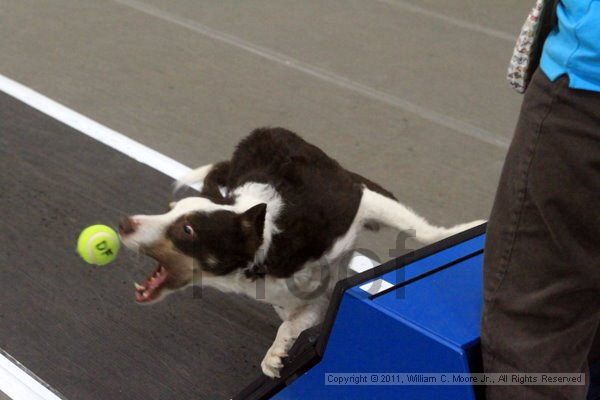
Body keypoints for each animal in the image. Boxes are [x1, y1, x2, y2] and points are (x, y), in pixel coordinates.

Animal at [119, 128, 480, 378]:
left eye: (187, 230)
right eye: (168, 210)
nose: (123, 223)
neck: (266, 244)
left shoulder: (355, 205)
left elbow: (423, 231)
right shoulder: (303, 299)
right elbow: (293, 322)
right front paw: (276, 355)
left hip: (367, 196)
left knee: (422, 228)